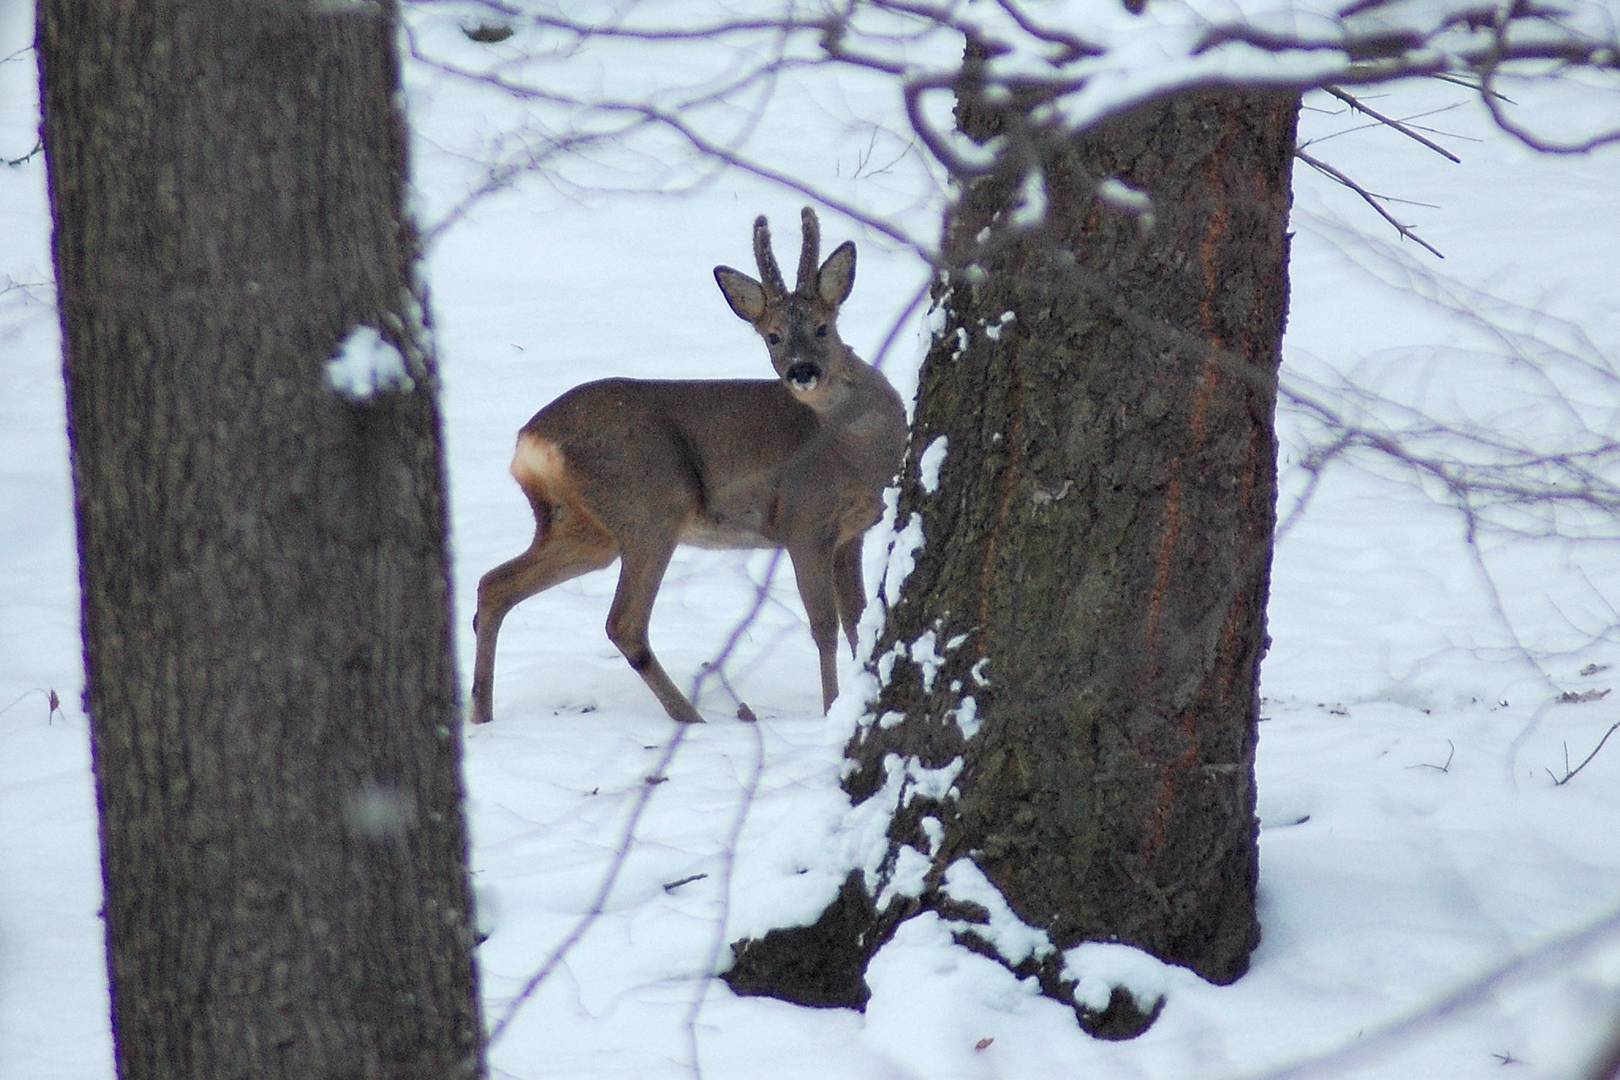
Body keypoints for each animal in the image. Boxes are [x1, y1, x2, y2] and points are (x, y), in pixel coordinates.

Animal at [473, 207, 913, 722]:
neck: (858, 455)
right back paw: (693, 718)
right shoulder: (803, 521)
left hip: (583, 529)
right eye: (773, 336)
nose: (802, 372)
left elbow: (859, 621)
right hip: (651, 506)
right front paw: (832, 709)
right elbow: (824, 625)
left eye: (824, 327)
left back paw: (480, 714)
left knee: (494, 585)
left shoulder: (851, 534)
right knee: (624, 622)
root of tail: (531, 441)